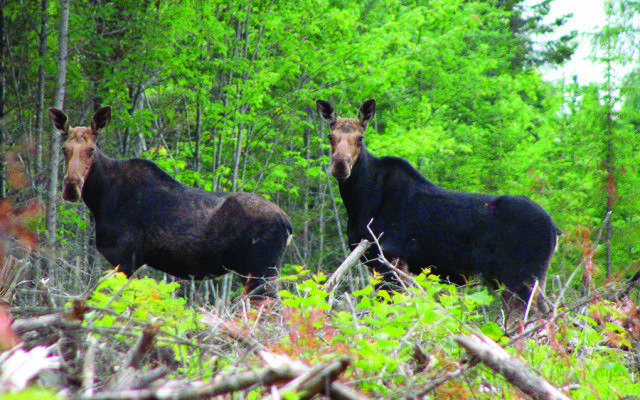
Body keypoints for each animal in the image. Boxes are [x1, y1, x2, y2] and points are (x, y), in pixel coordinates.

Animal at [48, 106, 294, 296]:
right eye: (64, 149)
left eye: (91, 149)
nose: (71, 186)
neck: (100, 200)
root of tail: (288, 224)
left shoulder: (126, 257)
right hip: (255, 272)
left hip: (262, 270)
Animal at [316, 97, 560, 306]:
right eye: (330, 137)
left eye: (360, 138)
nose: (340, 165)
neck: (360, 202)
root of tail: (555, 229)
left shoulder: (391, 259)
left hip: (523, 276)